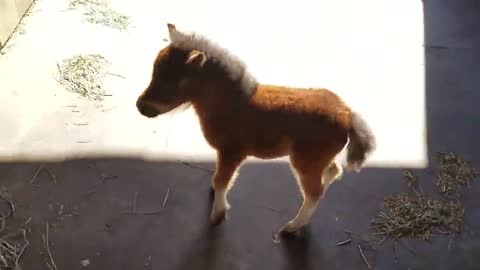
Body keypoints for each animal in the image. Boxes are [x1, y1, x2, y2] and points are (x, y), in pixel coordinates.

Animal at [135, 23, 376, 234]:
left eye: (172, 81)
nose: (140, 106)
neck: (231, 103)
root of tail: (347, 113)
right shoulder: (226, 154)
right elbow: (221, 179)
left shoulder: (232, 152)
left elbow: (221, 180)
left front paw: (218, 214)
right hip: (317, 159)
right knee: (332, 171)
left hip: (305, 161)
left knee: (314, 192)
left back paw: (292, 227)